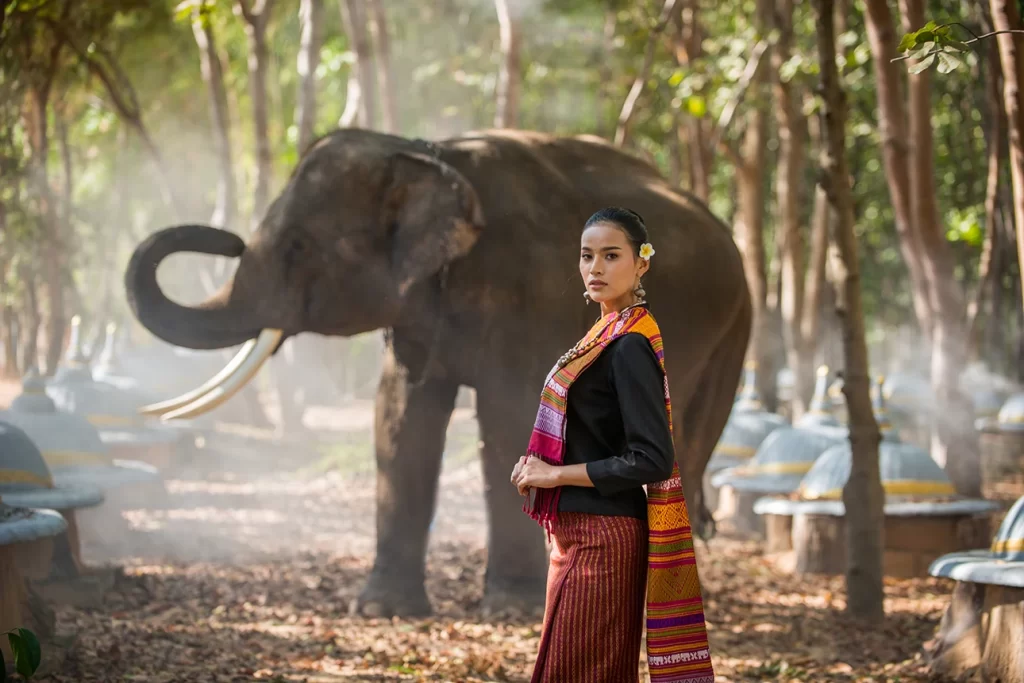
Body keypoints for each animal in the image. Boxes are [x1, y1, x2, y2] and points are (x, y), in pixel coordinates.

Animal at [121, 125, 753, 618]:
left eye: (299, 248)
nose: (224, 238)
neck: (427, 153)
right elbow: (399, 416)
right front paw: (381, 610)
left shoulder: (529, 292)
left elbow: (507, 415)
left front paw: (512, 611)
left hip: (736, 326)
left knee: (687, 440)